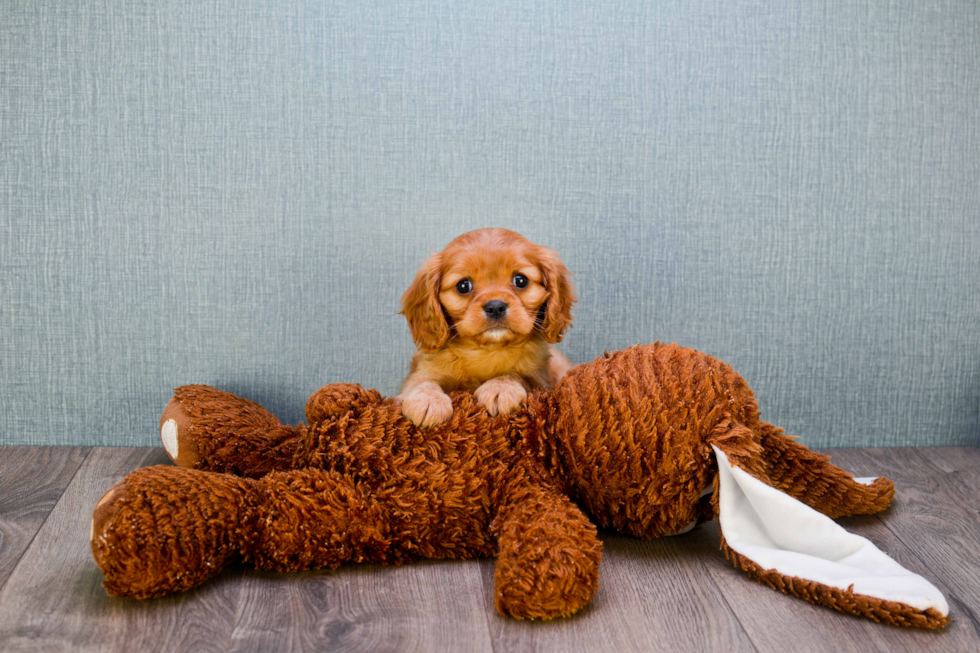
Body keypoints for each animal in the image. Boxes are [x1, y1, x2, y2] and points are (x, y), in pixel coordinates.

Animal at [396, 229, 576, 428]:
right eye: (463, 285)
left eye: (521, 280)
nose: (495, 306)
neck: (486, 350)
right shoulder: (420, 371)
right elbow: (423, 382)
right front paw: (428, 401)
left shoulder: (539, 381)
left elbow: (515, 375)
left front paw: (500, 388)